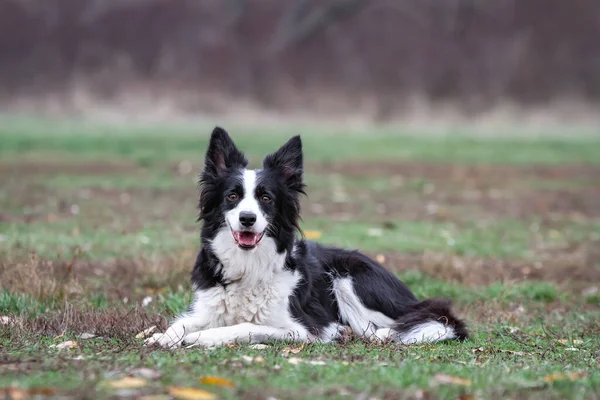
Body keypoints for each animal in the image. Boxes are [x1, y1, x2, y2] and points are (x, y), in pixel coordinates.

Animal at [146, 127, 468, 346]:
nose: (247, 219)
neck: (248, 266)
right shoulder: (207, 307)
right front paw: (163, 336)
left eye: (266, 198)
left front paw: (202, 338)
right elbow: (183, 323)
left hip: (350, 277)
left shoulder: (301, 329)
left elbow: (243, 326)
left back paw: (381, 332)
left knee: (428, 321)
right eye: (232, 196)